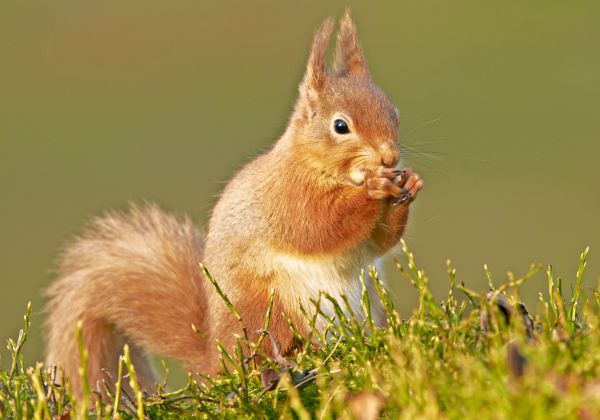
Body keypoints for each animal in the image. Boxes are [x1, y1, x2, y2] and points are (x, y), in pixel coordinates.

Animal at [44, 12, 422, 398]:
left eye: (394, 113)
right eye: (341, 126)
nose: (389, 157)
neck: (320, 168)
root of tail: (216, 358)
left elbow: (379, 242)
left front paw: (409, 184)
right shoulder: (286, 198)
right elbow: (318, 226)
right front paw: (372, 191)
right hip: (270, 309)